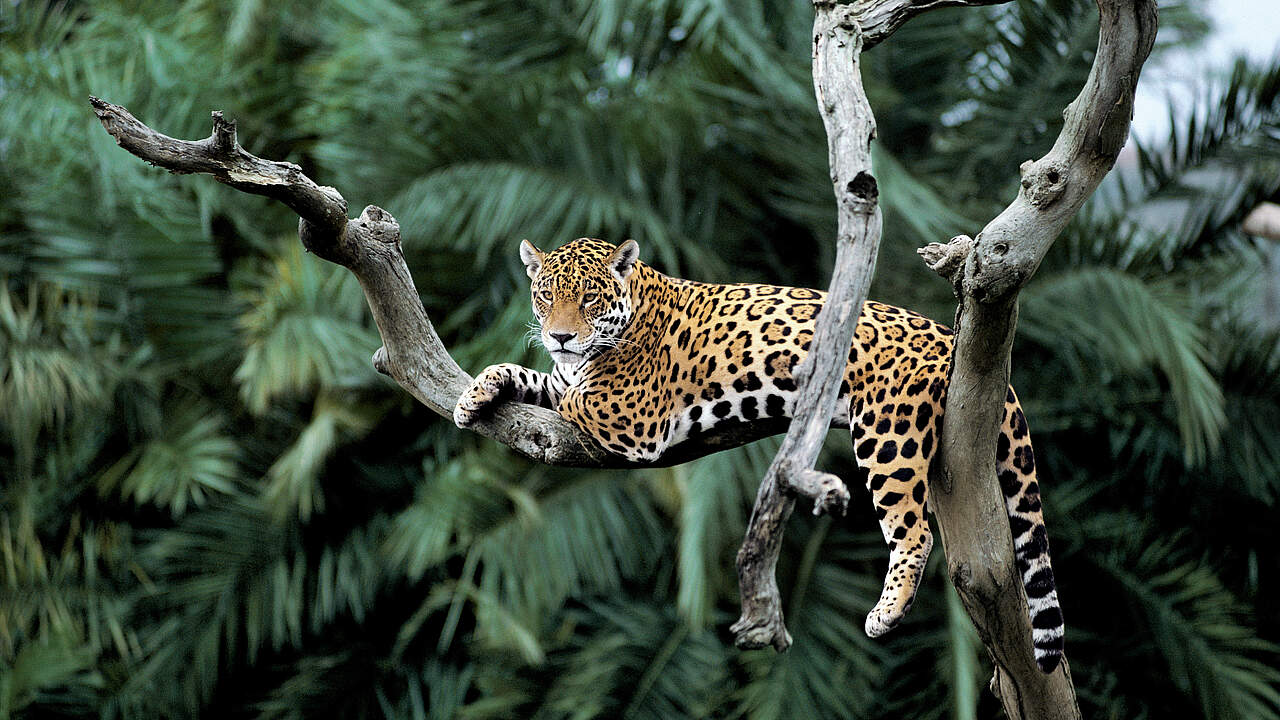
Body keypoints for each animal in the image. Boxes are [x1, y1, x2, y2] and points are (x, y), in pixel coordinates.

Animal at [454, 237, 1065, 673]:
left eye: (590, 298)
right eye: (544, 296)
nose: (559, 336)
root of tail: (948, 335)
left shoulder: (631, 414)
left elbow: (574, 394)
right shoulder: (567, 377)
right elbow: (535, 377)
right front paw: (475, 394)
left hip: (887, 434)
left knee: (913, 530)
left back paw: (886, 613)